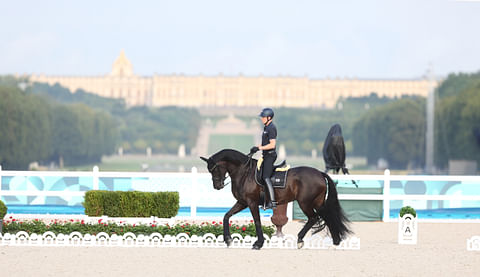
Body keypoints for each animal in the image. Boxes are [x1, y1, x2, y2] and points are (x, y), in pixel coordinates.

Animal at [201, 149, 350, 248]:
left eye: (215, 169)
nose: (217, 186)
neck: (244, 173)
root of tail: (319, 173)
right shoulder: (242, 202)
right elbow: (226, 216)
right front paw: (228, 239)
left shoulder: (251, 202)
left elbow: (257, 221)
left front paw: (258, 243)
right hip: (317, 203)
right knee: (327, 216)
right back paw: (336, 241)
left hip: (305, 203)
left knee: (314, 218)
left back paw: (300, 240)